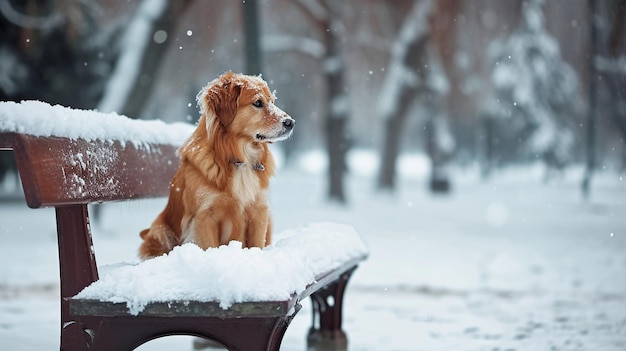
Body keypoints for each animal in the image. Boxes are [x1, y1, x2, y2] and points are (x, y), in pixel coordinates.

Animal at [140, 71, 296, 258]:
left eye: (272, 102)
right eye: (258, 103)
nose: (291, 122)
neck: (240, 158)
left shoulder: (259, 211)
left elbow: (257, 244)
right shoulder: (204, 217)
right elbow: (210, 246)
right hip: (160, 229)